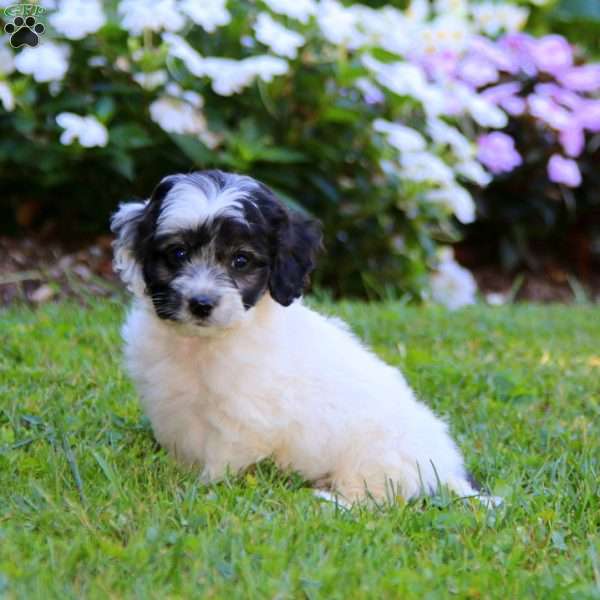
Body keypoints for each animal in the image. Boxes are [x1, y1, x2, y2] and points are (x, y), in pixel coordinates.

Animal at [110, 171, 494, 504]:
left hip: (377, 457)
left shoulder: (243, 419)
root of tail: (443, 469)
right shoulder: (170, 406)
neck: (201, 343)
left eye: (240, 260)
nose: (201, 304)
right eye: (178, 253)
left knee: (373, 498)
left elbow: (221, 459)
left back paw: (328, 501)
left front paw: (203, 490)